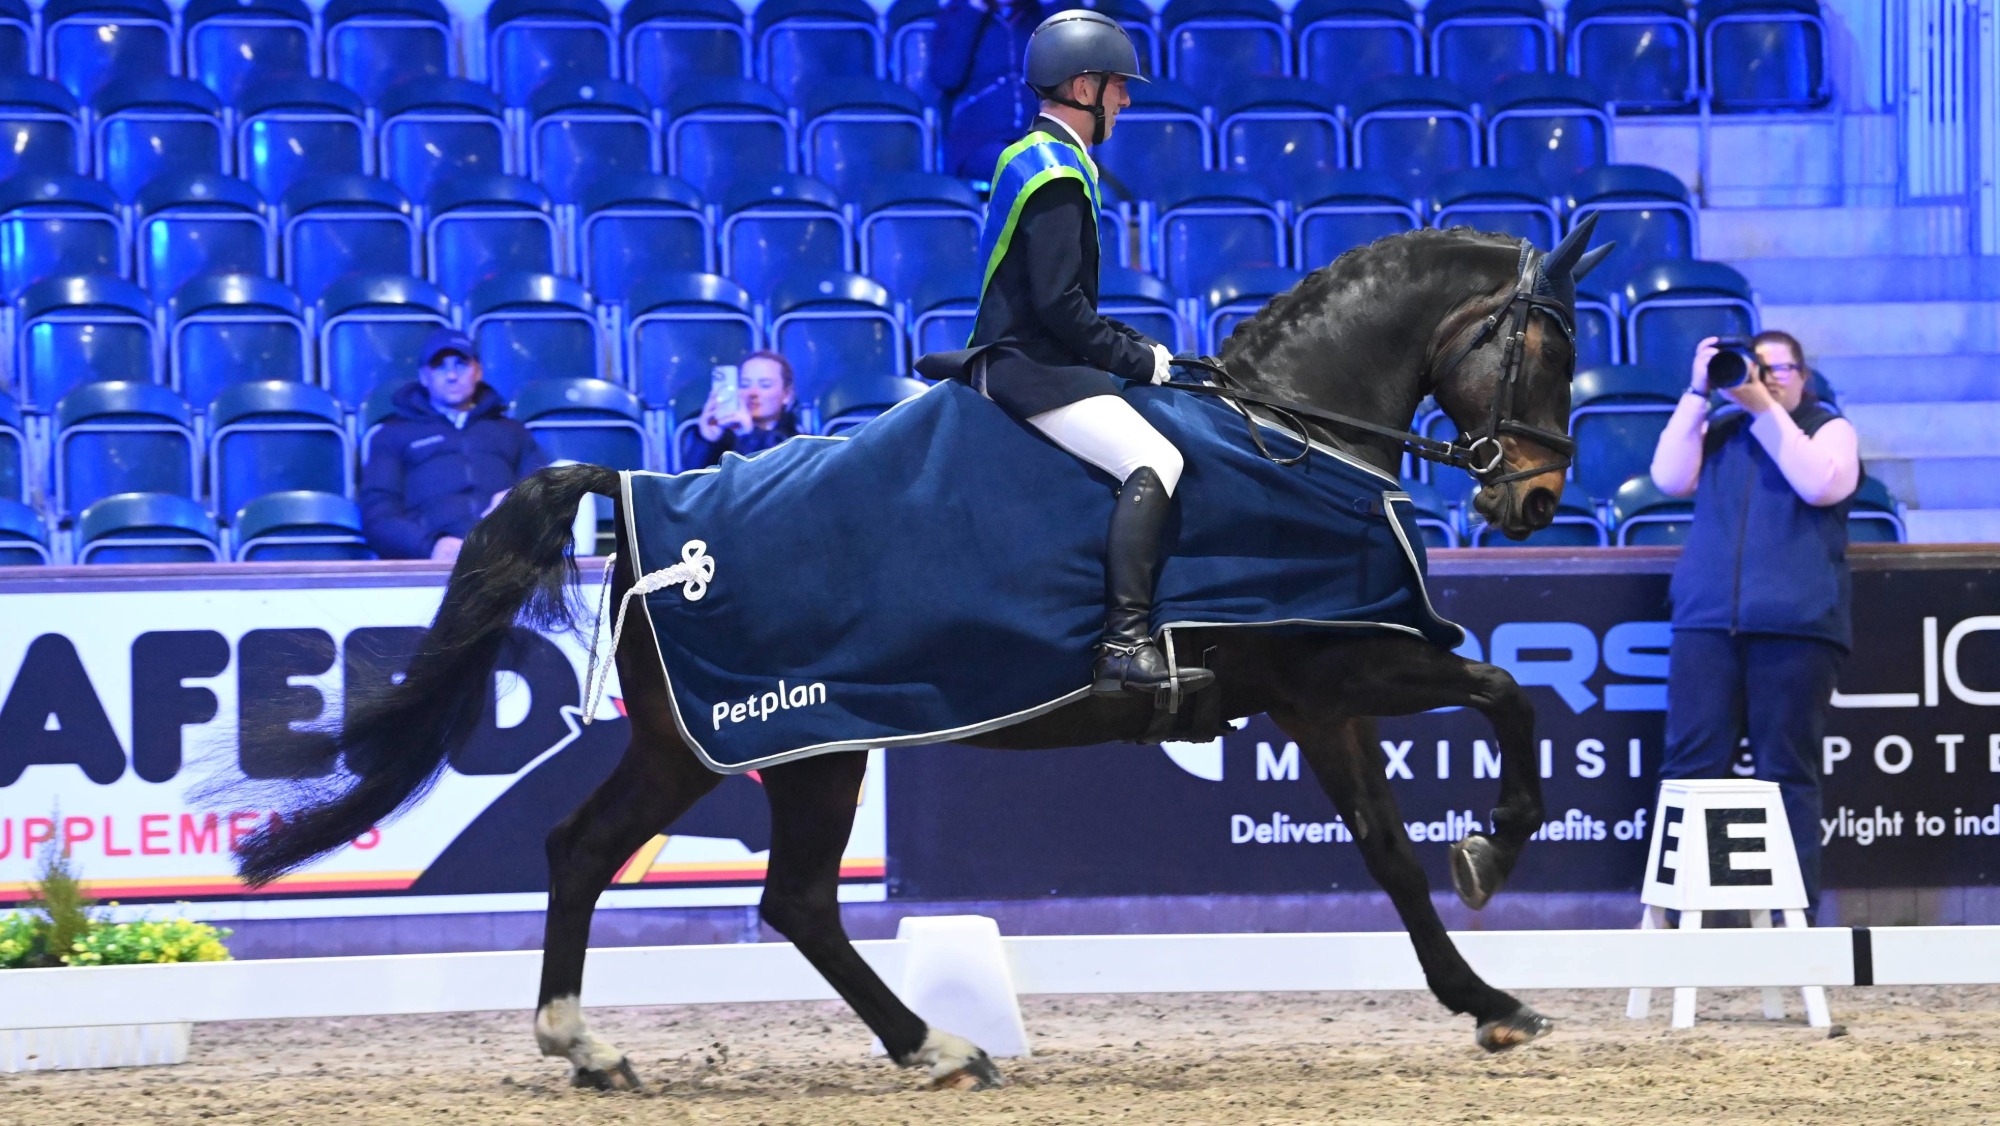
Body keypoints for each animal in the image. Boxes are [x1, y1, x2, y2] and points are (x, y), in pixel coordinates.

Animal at [229, 219, 1613, 1092]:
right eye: (1546, 346)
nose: (1536, 500)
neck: (1290, 437)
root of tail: (639, 497)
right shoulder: (1341, 670)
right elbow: (1507, 692)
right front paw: (1495, 849)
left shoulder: (1320, 699)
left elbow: (1387, 853)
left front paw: (1488, 1002)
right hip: (790, 740)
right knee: (761, 890)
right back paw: (924, 1047)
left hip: (736, 747)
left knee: (624, 860)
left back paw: (610, 1049)